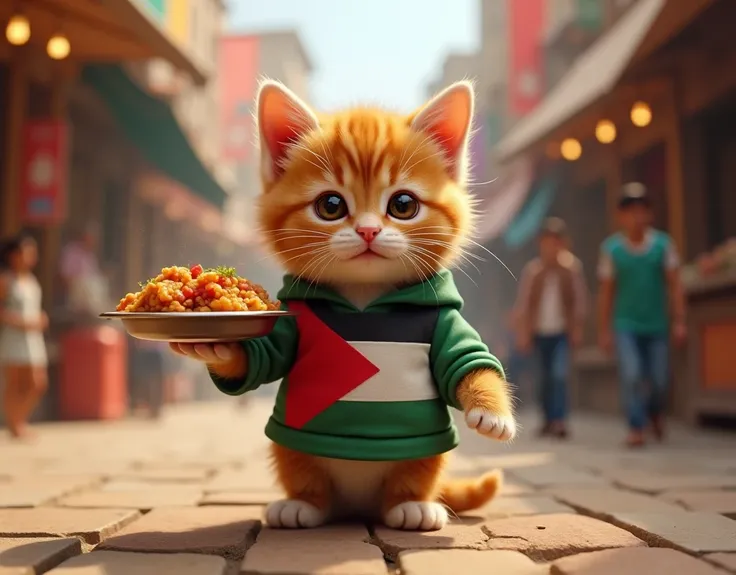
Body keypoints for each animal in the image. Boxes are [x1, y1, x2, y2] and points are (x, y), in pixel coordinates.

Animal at [172, 80, 516, 532]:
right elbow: (265, 358)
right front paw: (219, 348)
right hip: (291, 445)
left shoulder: (447, 325)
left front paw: (493, 413)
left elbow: (468, 361)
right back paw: (304, 504)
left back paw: (411, 505)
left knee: (413, 475)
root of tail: (359, 507)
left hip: (426, 456)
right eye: (331, 206)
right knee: (306, 474)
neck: (363, 295)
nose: (368, 230)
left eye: (403, 205)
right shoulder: (291, 326)